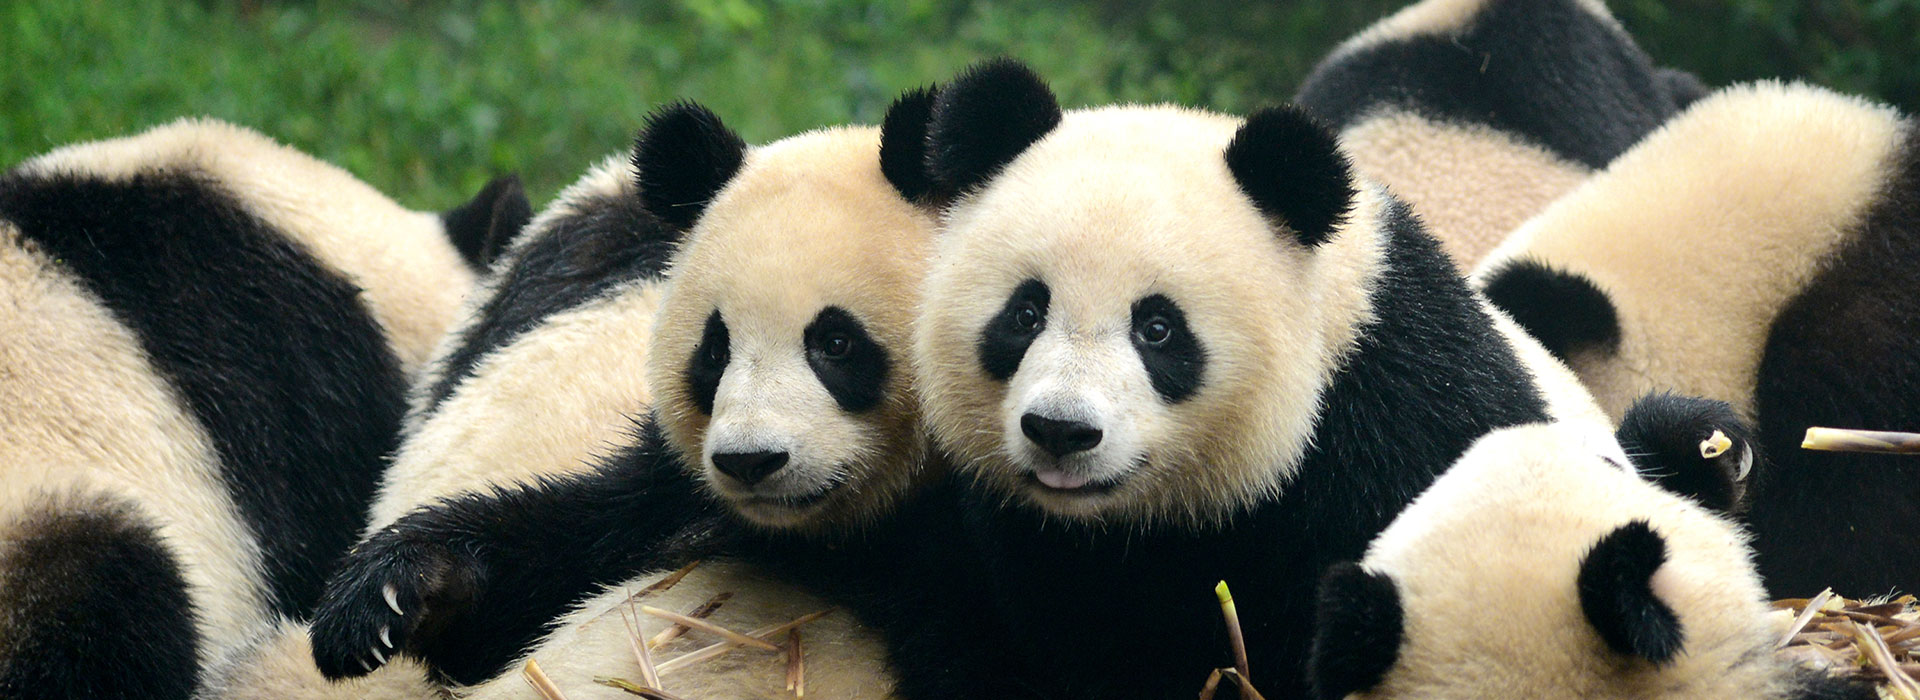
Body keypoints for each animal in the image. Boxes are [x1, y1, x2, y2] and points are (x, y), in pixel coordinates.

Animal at [305, 90, 945, 698]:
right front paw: (389, 595)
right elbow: (556, 558)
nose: (750, 460)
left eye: (836, 343)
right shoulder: (672, 492)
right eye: (715, 350)